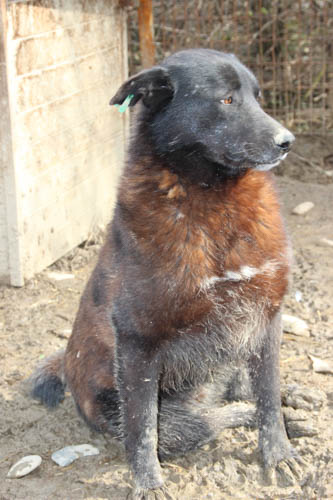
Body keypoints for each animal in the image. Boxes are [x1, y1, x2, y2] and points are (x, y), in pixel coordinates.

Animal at [30, 48, 296, 498]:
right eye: (226, 100)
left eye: (258, 98)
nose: (286, 141)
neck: (213, 200)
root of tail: (66, 363)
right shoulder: (138, 342)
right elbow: (142, 431)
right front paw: (148, 484)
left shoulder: (264, 316)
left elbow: (268, 395)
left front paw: (277, 452)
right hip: (133, 406)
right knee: (205, 420)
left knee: (241, 390)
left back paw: (293, 399)